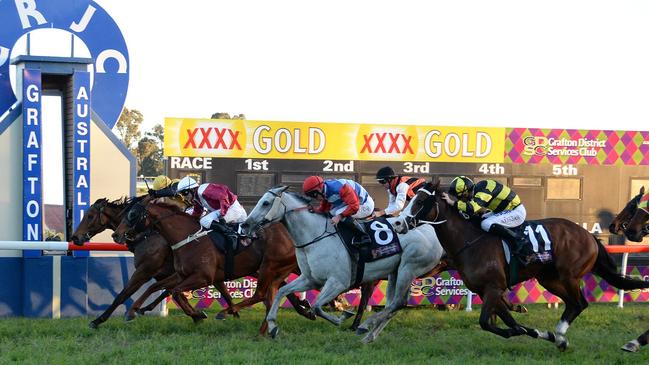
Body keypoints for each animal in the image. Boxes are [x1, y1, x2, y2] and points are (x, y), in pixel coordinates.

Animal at [71, 198, 238, 326]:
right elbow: (170, 292)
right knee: (225, 292)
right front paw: (197, 315)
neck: (145, 235)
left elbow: (123, 295)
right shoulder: (164, 274)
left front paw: (98, 320)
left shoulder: (144, 271)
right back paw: (232, 314)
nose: (75, 237)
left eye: (90, 216)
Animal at [239, 186, 446, 342]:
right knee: (393, 305)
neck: (315, 237)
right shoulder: (310, 279)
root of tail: (430, 228)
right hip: (395, 271)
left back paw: (364, 327)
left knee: (398, 303)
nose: (245, 225)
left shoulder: (338, 282)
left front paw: (343, 316)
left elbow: (317, 307)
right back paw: (369, 335)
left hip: (408, 268)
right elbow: (282, 292)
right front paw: (273, 326)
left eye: (266, 203)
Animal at [394, 179, 648, 350]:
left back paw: (561, 334)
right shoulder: (486, 291)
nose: (397, 223)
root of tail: (589, 235)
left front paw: (522, 331)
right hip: (550, 279)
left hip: (568, 275)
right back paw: (559, 337)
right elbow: (511, 321)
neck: (469, 239)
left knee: (580, 303)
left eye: (420, 201)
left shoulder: (493, 287)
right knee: (573, 304)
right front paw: (534, 331)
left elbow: (486, 322)